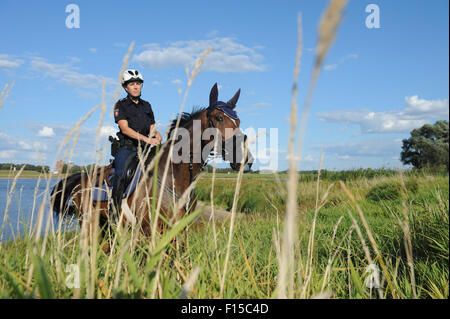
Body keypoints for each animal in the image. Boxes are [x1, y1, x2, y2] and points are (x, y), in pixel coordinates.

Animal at [51, 83, 253, 252]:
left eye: (238, 122)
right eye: (218, 118)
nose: (246, 159)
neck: (171, 174)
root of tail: (81, 178)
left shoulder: (180, 228)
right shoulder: (150, 231)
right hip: (88, 222)